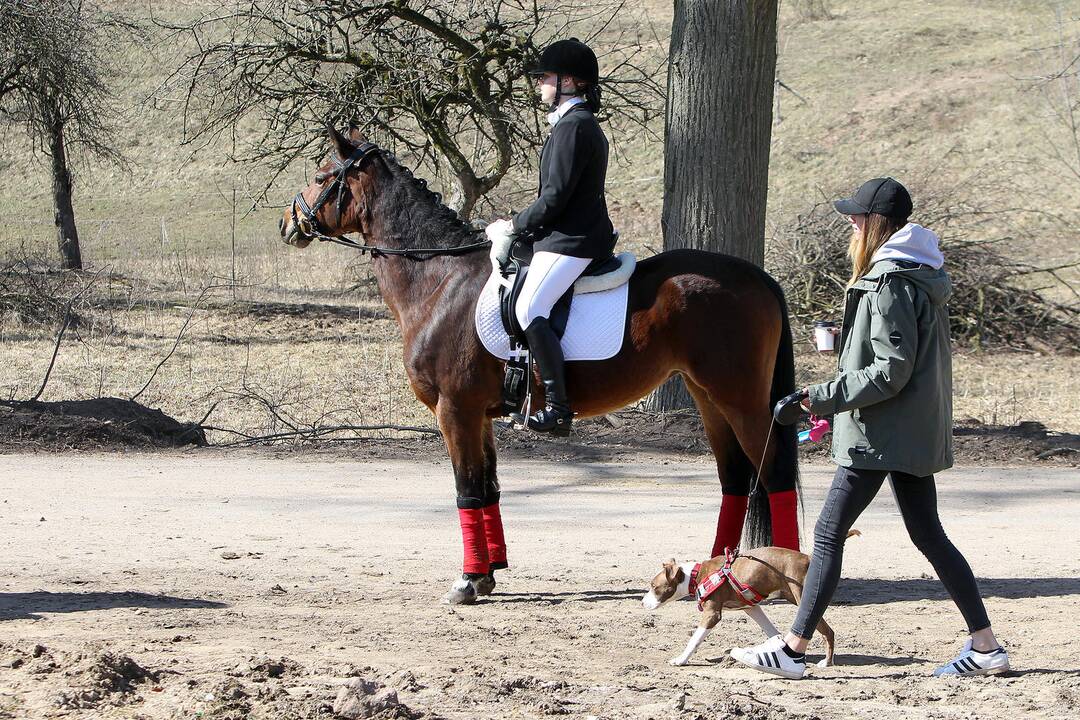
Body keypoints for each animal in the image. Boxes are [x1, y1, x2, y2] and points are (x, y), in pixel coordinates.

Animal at [278, 126, 803, 604]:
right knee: (734, 478)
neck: (439, 281)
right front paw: (488, 574)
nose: (288, 221)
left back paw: (785, 574)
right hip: (707, 397)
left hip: (740, 399)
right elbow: (489, 487)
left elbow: (467, 489)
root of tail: (757, 276)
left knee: (774, 472)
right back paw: (710, 575)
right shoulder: (479, 415)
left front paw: (466, 582)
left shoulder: (455, 411)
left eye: (321, 175)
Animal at [639, 533, 859, 669]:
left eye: (653, 586)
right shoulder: (751, 607)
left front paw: (681, 659)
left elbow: (694, 639)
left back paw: (827, 662)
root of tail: (808, 558)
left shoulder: (712, 614)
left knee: (827, 631)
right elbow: (771, 630)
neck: (696, 575)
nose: (642, 603)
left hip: (802, 597)